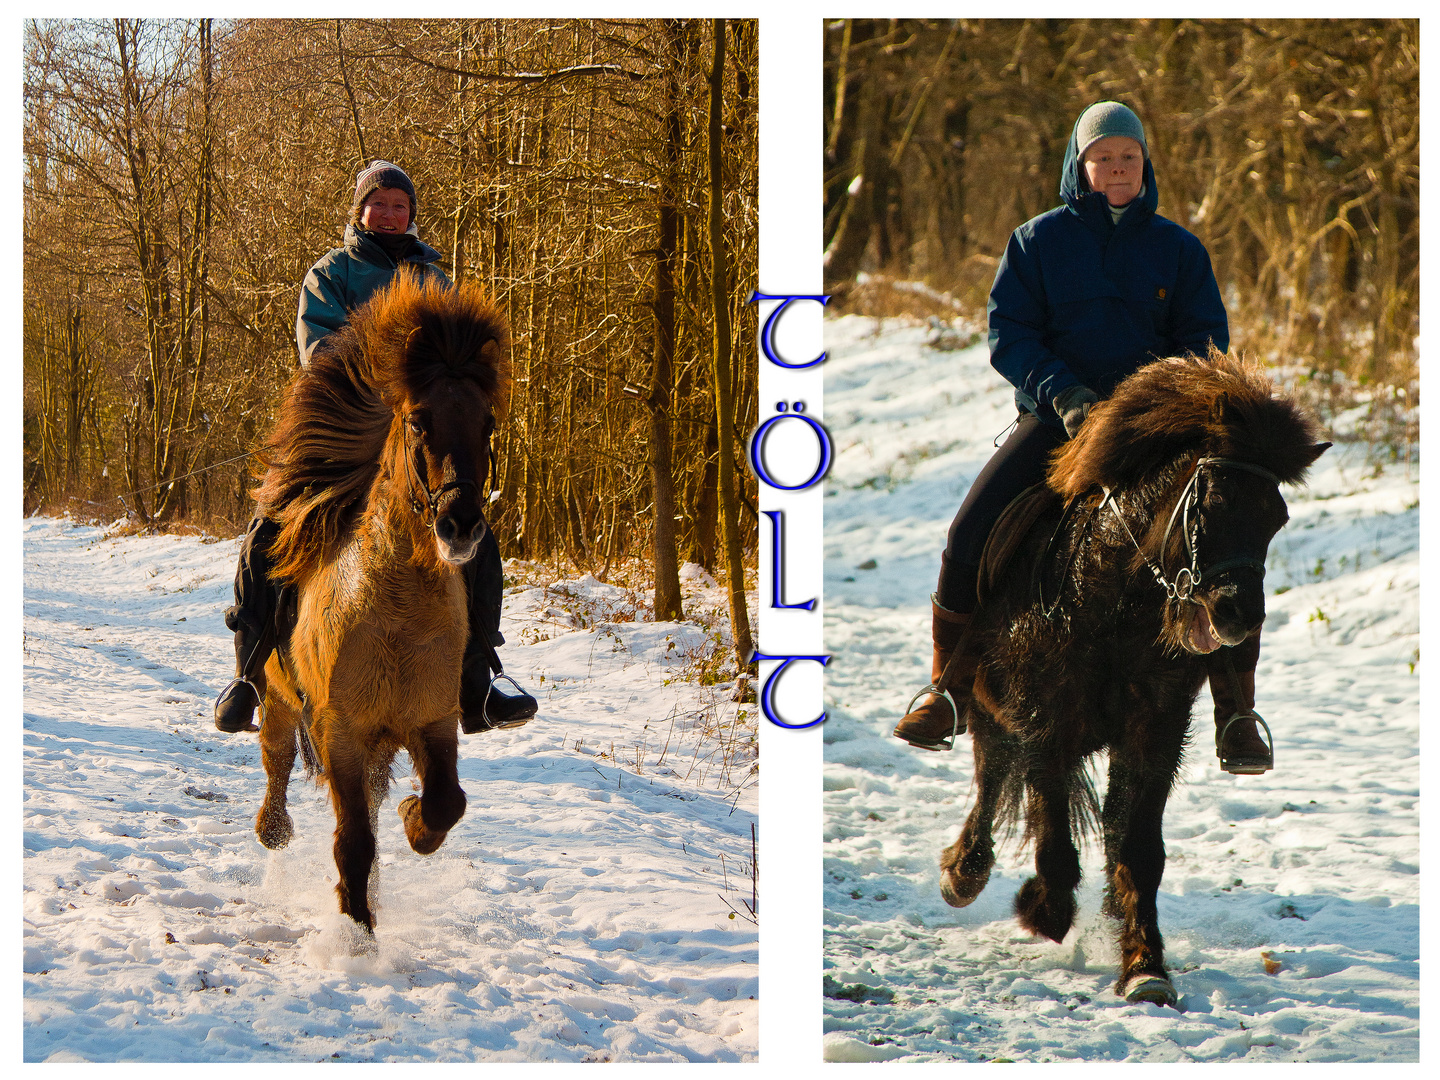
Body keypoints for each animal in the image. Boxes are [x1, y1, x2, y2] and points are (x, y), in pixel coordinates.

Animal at [250, 272, 509, 938]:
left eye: (487, 423)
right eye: (418, 421)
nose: (461, 525)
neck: (397, 609)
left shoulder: (432, 723)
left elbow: (445, 803)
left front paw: (414, 819)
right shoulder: (339, 731)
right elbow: (353, 841)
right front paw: (356, 933)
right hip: (281, 702)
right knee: (276, 760)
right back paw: (273, 829)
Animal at [944, 352, 1324, 1008]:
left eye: (1276, 517)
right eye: (1209, 503)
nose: (1239, 616)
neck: (1114, 600)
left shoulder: (1156, 728)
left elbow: (1138, 849)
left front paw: (1145, 966)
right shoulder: (1046, 721)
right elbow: (1052, 829)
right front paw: (1043, 909)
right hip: (990, 707)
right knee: (992, 774)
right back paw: (963, 872)